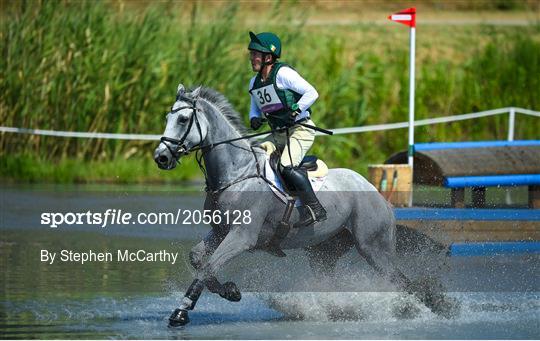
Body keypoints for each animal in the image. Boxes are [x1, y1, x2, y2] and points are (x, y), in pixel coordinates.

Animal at [153, 83, 456, 326]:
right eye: (167, 117)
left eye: (183, 119)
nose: (161, 157)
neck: (237, 173)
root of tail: (377, 194)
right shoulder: (219, 232)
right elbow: (198, 259)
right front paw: (230, 291)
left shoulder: (241, 237)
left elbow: (208, 266)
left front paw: (180, 313)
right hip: (324, 253)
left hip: (373, 247)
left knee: (401, 282)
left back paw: (417, 309)